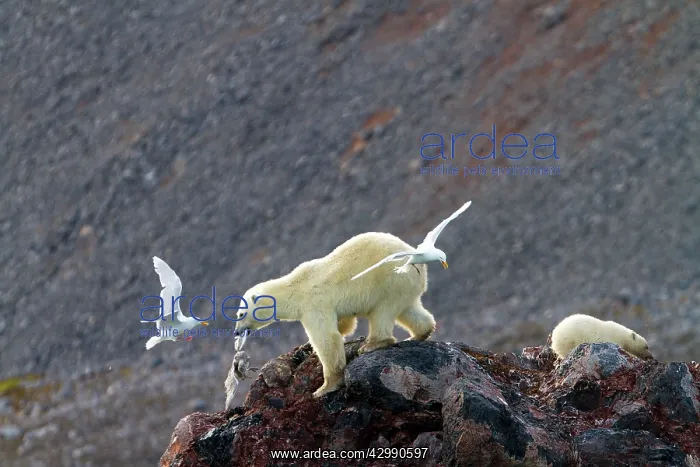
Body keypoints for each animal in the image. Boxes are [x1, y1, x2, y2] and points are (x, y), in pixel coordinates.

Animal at [232, 232, 437, 398]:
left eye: (240, 314)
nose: (236, 331)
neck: (294, 288)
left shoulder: (314, 303)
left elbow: (327, 339)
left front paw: (323, 388)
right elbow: (344, 322)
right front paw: (307, 346)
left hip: (390, 279)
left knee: (382, 312)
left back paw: (372, 344)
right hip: (406, 286)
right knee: (408, 309)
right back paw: (418, 334)